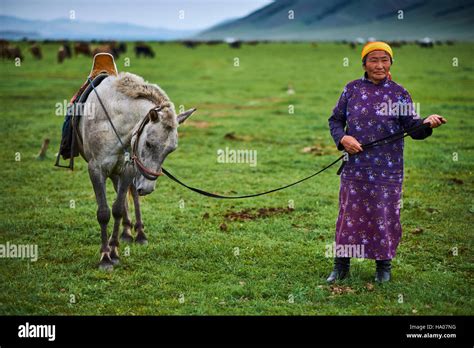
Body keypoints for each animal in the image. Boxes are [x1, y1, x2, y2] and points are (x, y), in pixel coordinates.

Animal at [77, 72, 194, 270]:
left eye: (171, 150)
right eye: (148, 143)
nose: (147, 188)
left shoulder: (128, 170)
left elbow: (117, 209)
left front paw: (114, 252)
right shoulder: (96, 170)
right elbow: (104, 212)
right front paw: (105, 257)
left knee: (131, 195)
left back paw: (137, 233)